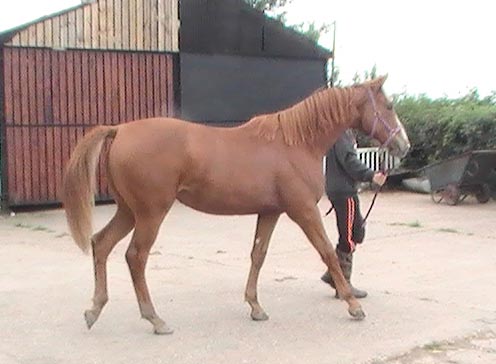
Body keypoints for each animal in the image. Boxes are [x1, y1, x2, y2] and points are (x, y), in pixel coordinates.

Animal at [63, 75, 410, 334]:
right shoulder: (303, 211)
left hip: (128, 211)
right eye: (389, 105)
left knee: (101, 244)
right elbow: (327, 251)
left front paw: (255, 306)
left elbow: (258, 255)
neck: (295, 143)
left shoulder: (270, 212)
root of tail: (119, 130)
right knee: (135, 257)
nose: (404, 145)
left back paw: (94, 309)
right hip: (150, 213)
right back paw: (155, 319)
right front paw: (354, 305)